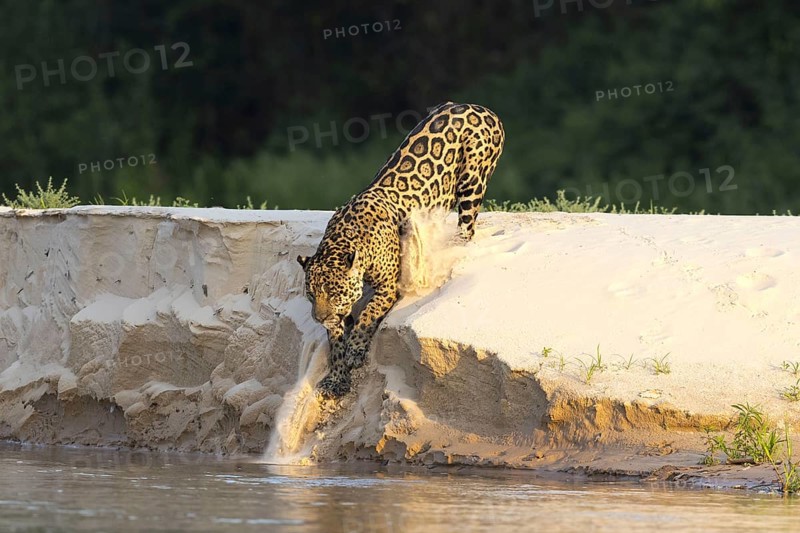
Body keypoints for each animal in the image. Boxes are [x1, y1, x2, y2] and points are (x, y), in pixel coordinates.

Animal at [297, 101, 505, 398]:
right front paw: (337, 378)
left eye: (334, 293)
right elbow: (336, 344)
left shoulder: (389, 285)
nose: (319, 317)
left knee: (467, 226)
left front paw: (356, 349)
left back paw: (453, 246)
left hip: (472, 181)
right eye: (311, 295)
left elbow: (369, 313)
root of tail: (479, 107)